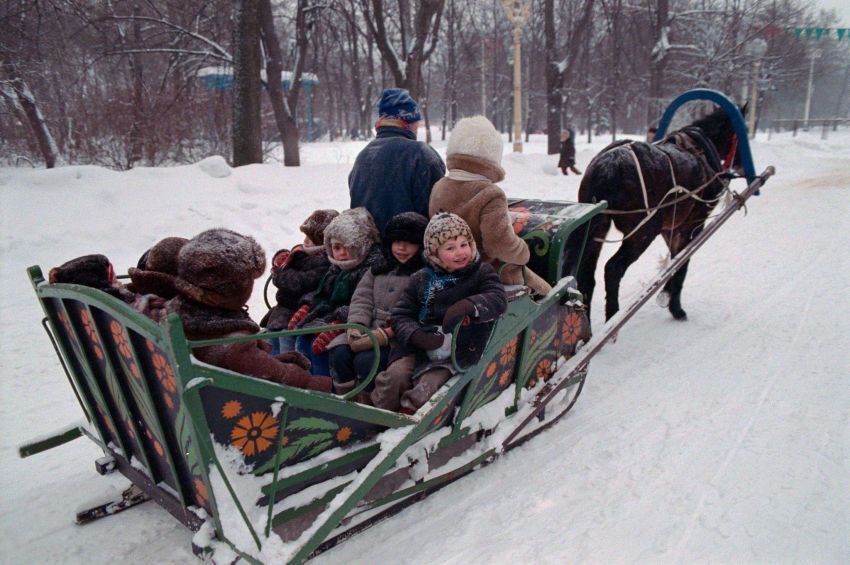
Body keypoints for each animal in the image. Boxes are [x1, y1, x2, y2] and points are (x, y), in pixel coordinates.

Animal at [564, 105, 744, 322]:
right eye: (740, 131)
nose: (741, 163)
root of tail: (609, 165)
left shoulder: (671, 227)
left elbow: (674, 260)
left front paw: (666, 294)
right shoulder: (693, 224)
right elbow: (682, 263)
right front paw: (675, 307)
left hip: (597, 229)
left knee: (587, 277)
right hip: (644, 232)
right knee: (613, 269)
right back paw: (613, 317)